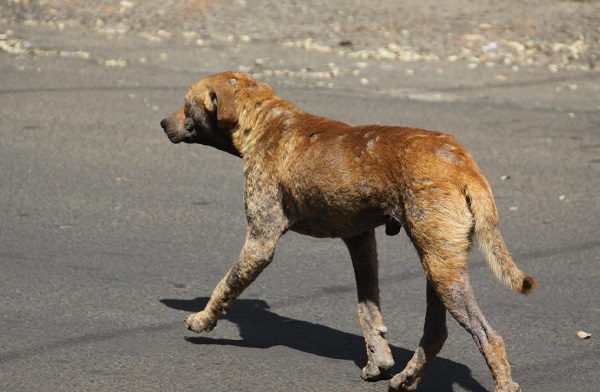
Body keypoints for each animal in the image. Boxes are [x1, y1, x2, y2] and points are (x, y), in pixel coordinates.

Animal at [159, 71, 536, 392]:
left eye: (186, 102)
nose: (162, 123)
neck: (267, 122)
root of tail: (462, 162)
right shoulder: (361, 240)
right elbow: (367, 309)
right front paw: (378, 360)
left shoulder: (260, 242)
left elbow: (225, 285)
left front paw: (203, 320)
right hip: (440, 264)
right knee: (436, 333)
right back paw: (406, 377)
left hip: (443, 270)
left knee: (488, 336)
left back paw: (502, 384)